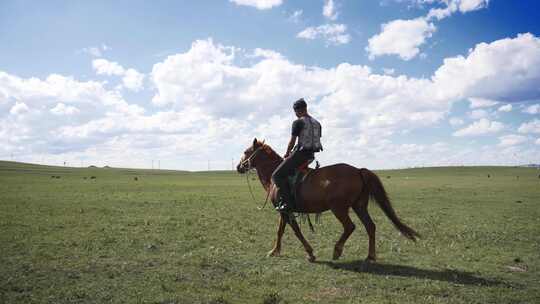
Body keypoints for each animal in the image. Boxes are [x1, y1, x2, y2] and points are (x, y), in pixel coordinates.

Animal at [238, 139, 420, 262]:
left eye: (246, 151)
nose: (239, 167)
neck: (275, 178)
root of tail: (358, 170)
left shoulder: (285, 210)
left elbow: (296, 231)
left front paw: (310, 253)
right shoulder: (284, 211)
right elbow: (280, 230)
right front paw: (274, 251)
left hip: (339, 208)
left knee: (350, 227)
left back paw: (337, 251)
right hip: (359, 206)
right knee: (370, 226)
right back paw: (370, 256)